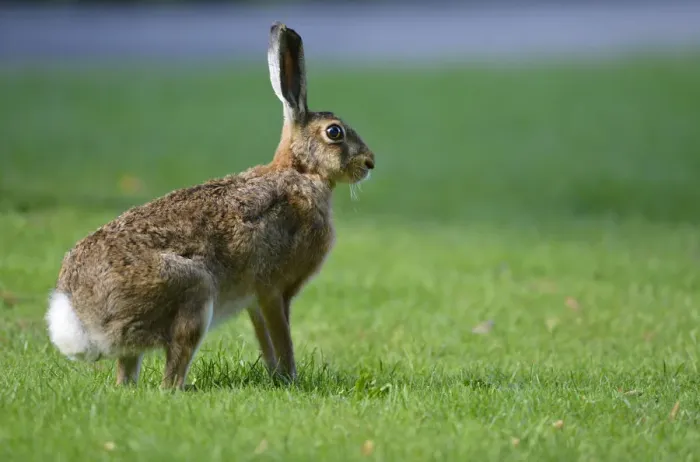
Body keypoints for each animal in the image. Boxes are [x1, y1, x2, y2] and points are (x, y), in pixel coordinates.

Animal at [45, 21, 375, 390]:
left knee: (127, 373)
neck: (300, 171)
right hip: (195, 293)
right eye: (335, 133)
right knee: (171, 375)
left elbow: (265, 340)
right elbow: (282, 338)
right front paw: (291, 379)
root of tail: (79, 316)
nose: (369, 163)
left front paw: (277, 378)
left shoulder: (254, 301)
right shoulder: (273, 289)